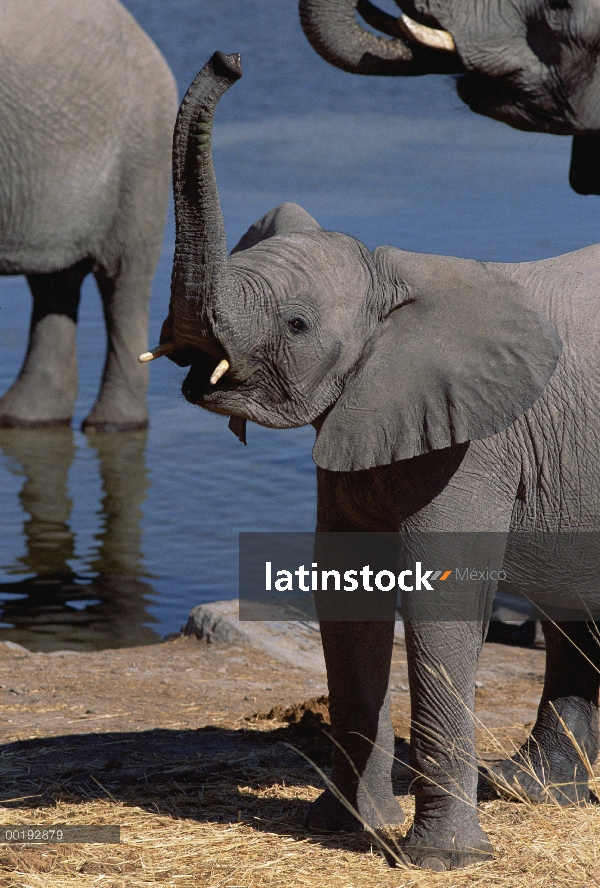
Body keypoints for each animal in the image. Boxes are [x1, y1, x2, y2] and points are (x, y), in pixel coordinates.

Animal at [150, 52, 600, 872]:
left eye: (297, 324)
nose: (232, 59)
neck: (393, 279)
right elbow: (347, 587)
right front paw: (340, 827)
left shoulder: (474, 442)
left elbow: (440, 596)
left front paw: (440, 862)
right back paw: (530, 792)